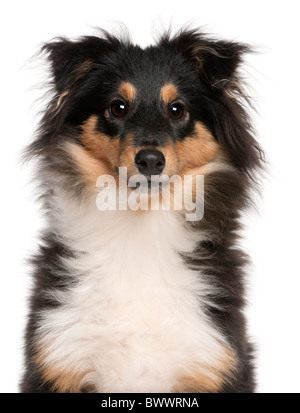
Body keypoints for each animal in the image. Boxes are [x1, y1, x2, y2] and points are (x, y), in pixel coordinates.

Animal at [20, 26, 262, 392]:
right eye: (118, 107)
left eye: (177, 109)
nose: (150, 160)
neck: (141, 227)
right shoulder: (58, 359)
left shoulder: (214, 361)